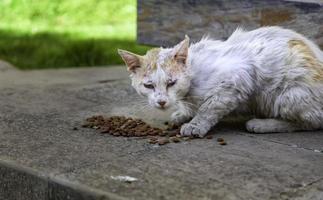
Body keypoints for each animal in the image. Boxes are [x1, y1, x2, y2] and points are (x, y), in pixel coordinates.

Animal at [117, 25, 323, 137]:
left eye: (171, 83)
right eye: (148, 85)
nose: (161, 102)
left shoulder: (237, 78)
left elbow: (208, 108)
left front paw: (195, 125)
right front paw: (182, 114)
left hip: (290, 95)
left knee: (312, 122)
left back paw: (262, 124)